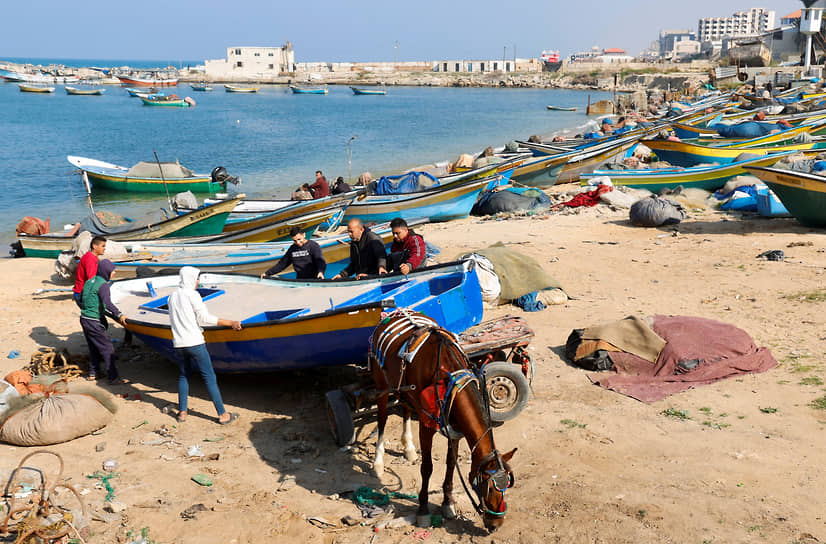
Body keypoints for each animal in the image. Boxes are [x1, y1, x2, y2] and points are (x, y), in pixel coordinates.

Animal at [368, 310, 516, 532]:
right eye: (488, 487)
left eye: (507, 483)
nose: (496, 524)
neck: (449, 375)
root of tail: (393, 312)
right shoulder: (426, 425)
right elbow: (427, 468)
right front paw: (423, 510)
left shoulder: (455, 428)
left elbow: (451, 463)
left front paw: (448, 502)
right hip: (382, 385)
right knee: (383, 418)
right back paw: (378, 462)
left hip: (406, 390)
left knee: (405, 409)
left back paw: (408, 448)